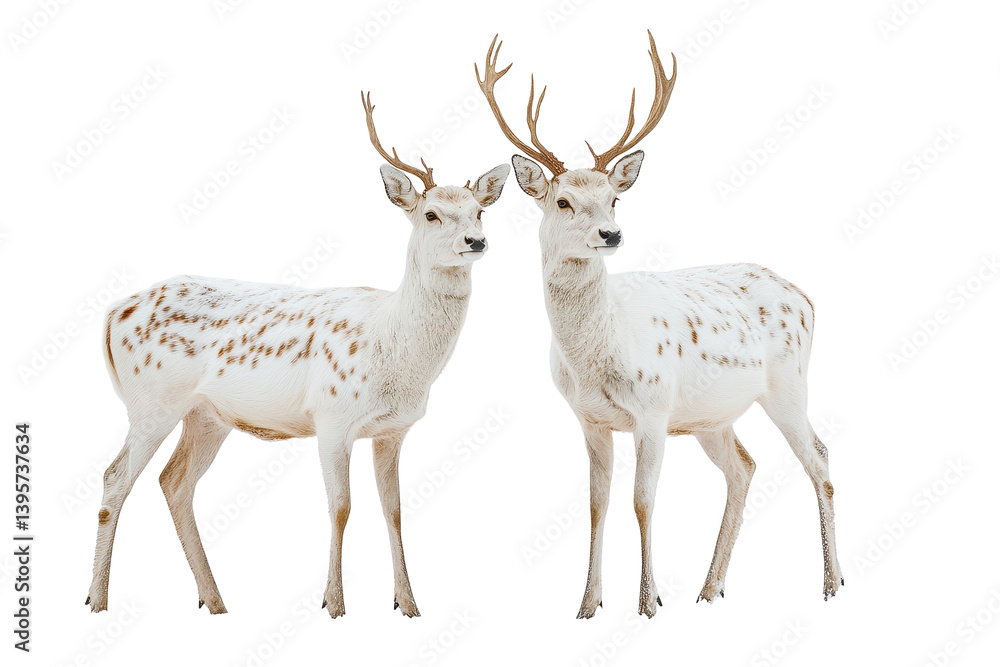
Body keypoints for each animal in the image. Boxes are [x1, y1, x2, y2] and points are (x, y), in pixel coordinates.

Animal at [85, 90, 510, 618]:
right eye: (431, 213)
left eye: (480, 211)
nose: (476, 241)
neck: (397, 352)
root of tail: (113, 312)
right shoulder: (331, 416)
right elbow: (341, 506)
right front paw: (334, 603)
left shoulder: (393, 430)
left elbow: (393, 508)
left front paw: (408, 603)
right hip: (151, 401)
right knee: (115, 477)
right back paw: (98, 600)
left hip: (207, 416)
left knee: (174, 482)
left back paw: (215, 600)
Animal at [476, 32, 842, 618]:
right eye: (563, 200)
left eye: (615, 198)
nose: (611, 234)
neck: (594, 355)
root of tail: (805, 295)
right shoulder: (590, 419)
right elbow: (598, 503)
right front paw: (587, 604)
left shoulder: (651, 409)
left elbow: (643, 501)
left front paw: (649, 603)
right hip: (712, 416)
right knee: (744, 469)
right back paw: (710, 588)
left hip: (789, 384)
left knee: (820, 460)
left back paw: (831, 583)